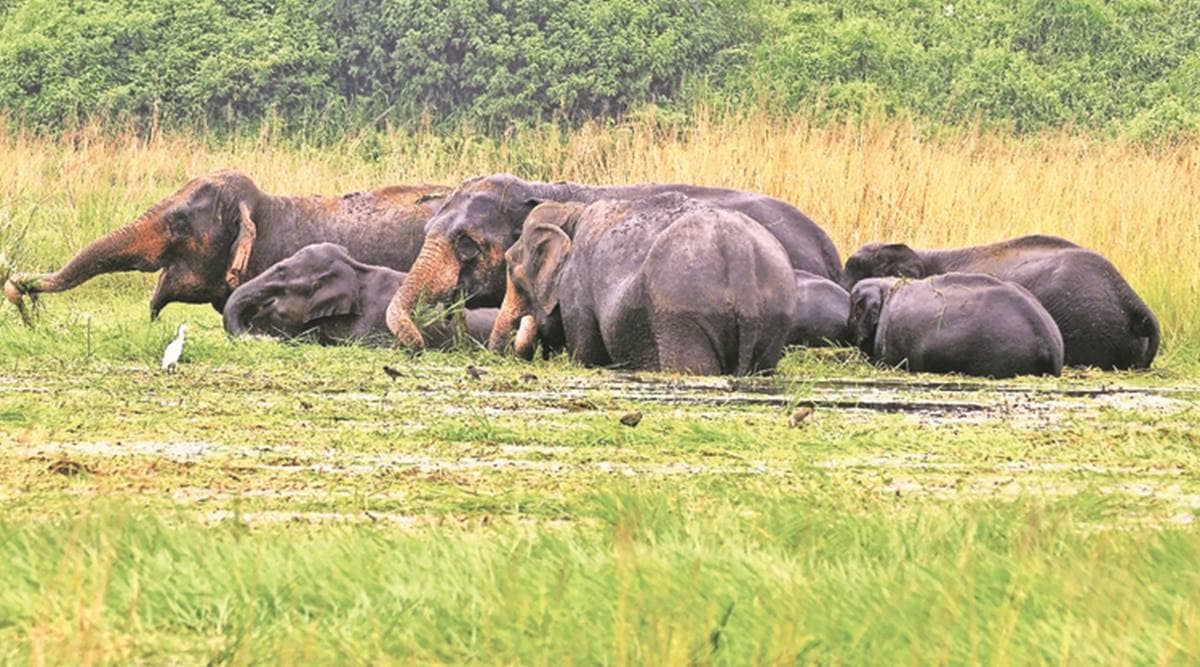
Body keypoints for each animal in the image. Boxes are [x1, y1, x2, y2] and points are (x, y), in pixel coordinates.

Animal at [486, 194, 798, 376]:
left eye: (511, 268)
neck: (572, 212)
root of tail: (739, 251)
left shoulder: (577, 288)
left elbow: (586, 354)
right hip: (775, 319)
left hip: (681, 315)